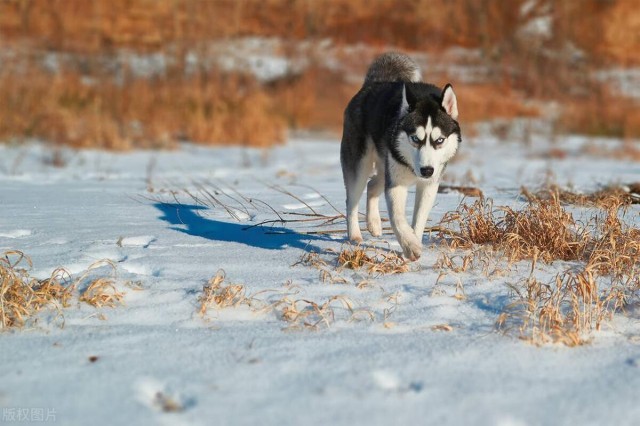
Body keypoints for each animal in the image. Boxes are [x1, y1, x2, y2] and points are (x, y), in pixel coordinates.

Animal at [340, 52, 460, 260]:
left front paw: (414, 240)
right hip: (361, 165)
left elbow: (419, 218)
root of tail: (373, 83)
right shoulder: (396, 184)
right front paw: (410, 245)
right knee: (352, 199)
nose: (426, 171)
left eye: (439, 140)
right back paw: (354, 236)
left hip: (386, 164)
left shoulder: (429, 185)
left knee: (372, 185)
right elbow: (397, 218)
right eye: (415, 138)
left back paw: (374, 223)